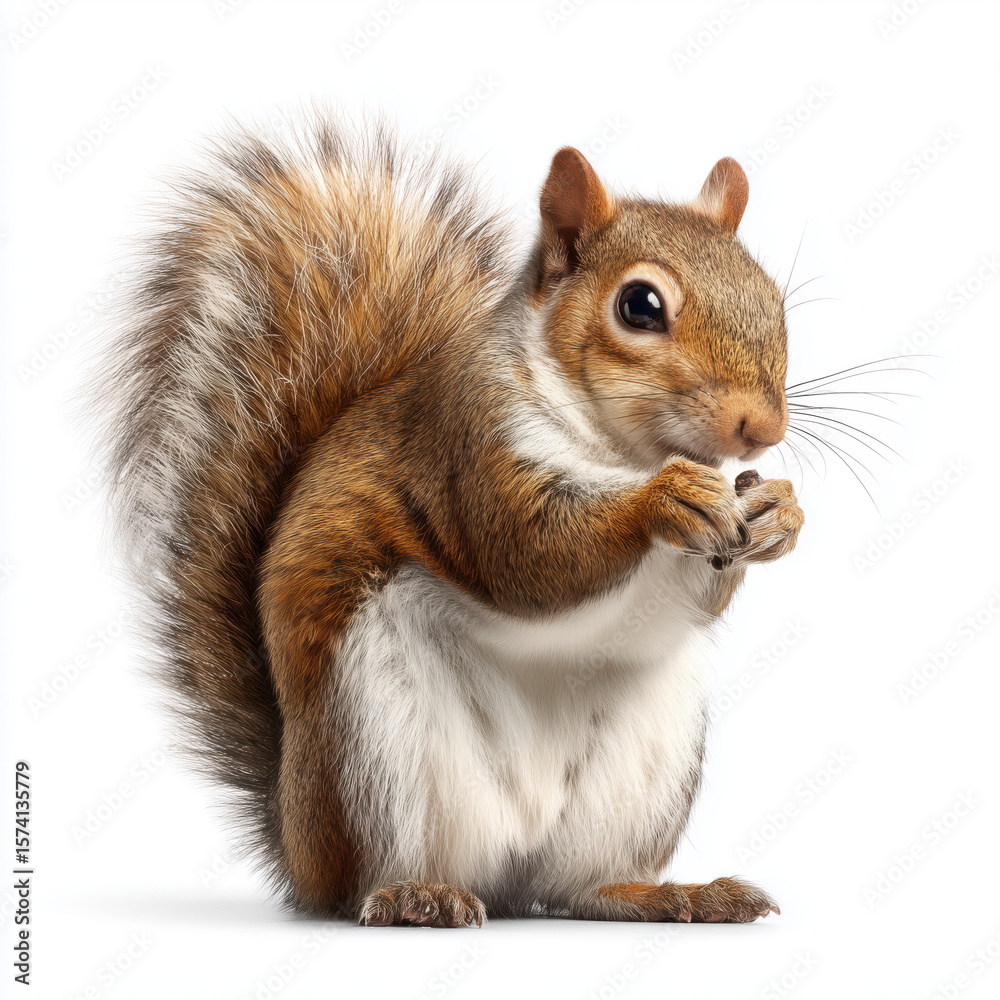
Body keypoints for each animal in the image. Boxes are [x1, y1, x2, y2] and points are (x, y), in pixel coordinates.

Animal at [100, 114, 804, 927]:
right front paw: (662, 499)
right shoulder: (467, 448)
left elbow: (684, 596)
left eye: (771, 295)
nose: (762, 427)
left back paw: (669, 894)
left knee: (578, 888)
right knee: (368, 881)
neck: (621, 451)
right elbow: (527, 554)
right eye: (640, 306)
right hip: (369, 741)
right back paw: (413, 895)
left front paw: (780, 512)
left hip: (643, 764)